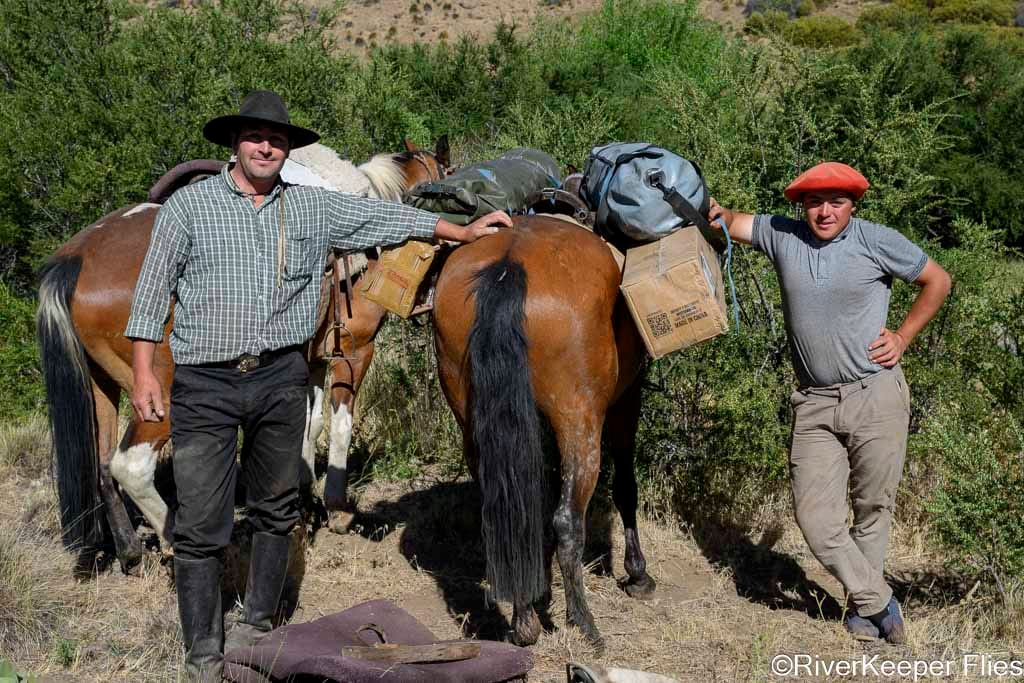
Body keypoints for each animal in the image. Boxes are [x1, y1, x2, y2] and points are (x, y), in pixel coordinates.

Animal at [431, 214, 657, 653]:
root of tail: (508, 267)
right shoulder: (627, 397)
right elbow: (626, 486)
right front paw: (637, 573)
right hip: (578, 421)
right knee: (567, 519)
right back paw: (584, 623)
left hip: (472, 419)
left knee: (511, 513)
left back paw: (524, 623)